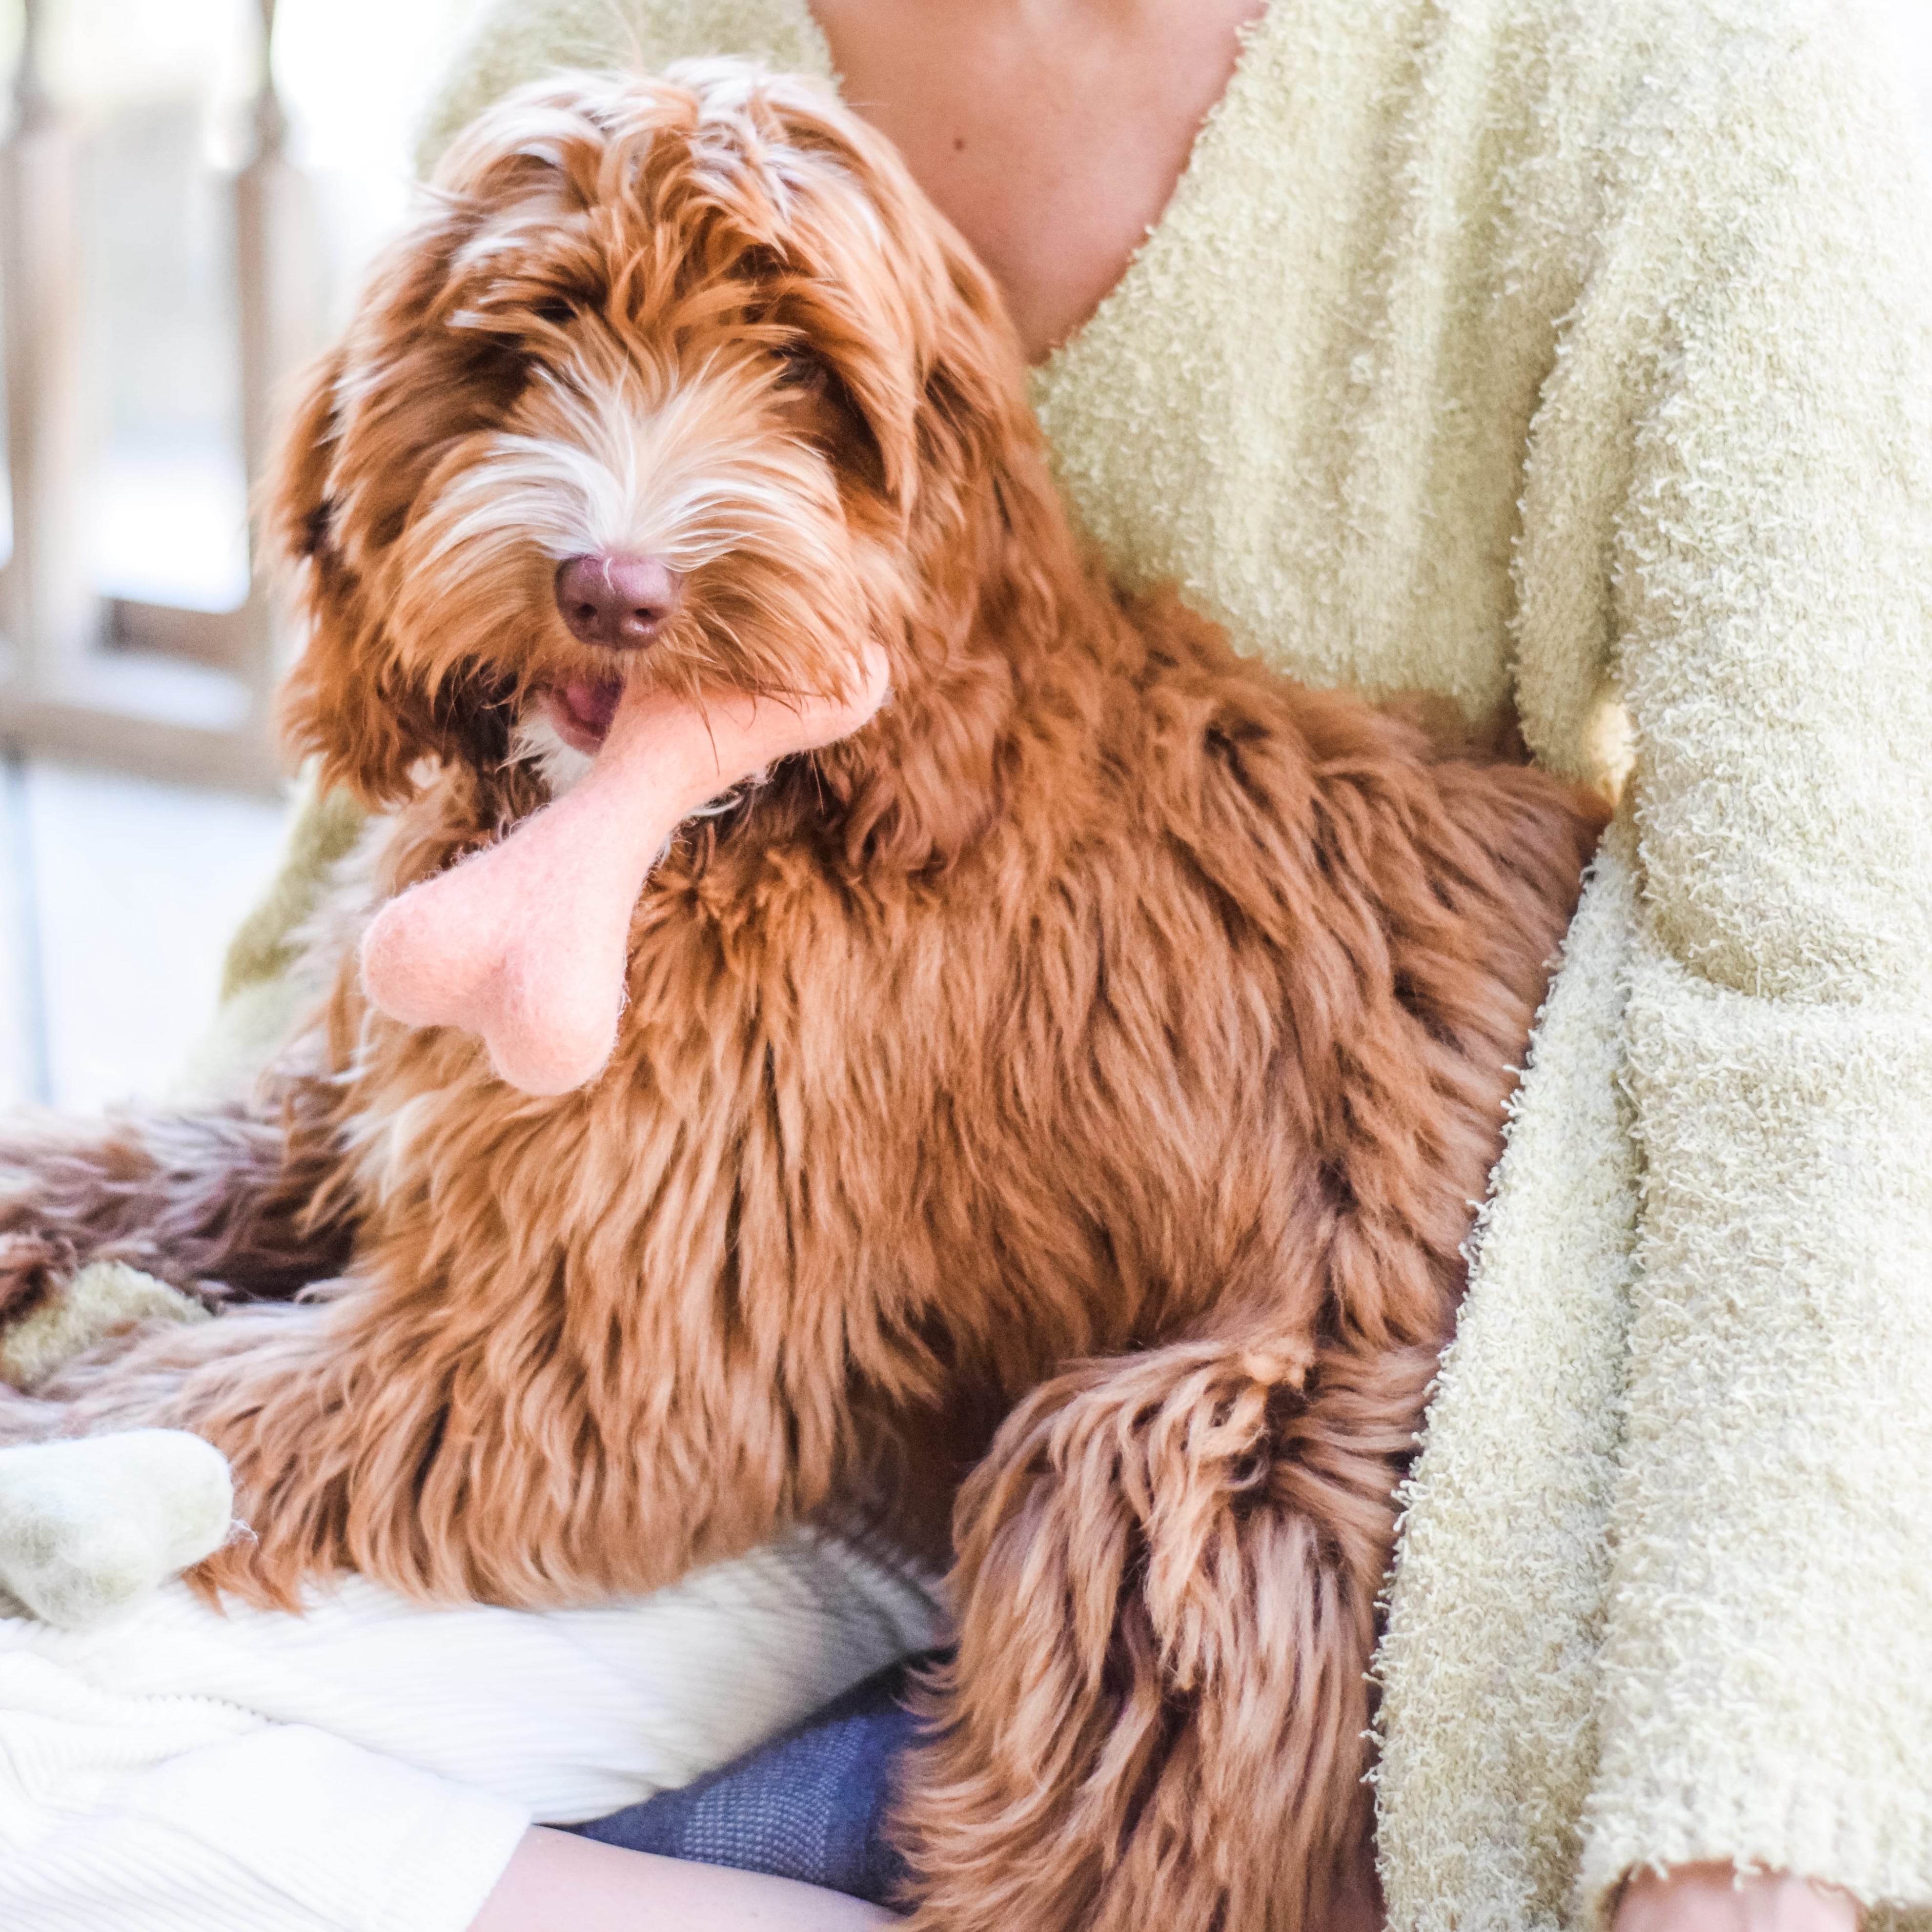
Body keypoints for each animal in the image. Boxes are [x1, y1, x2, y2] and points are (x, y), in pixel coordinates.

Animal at [0, 60, 1600, 1932]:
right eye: (527, 340)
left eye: (801, 379)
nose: (613, 584)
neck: (722, 821)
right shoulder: (359, 1116)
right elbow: (153, 1158)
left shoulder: (573, 1356)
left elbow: (190, 1390)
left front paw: (58, 1413)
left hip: (1200, 1461)